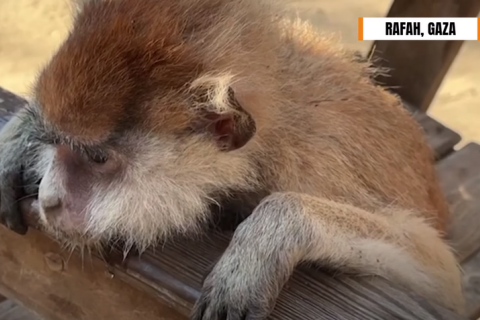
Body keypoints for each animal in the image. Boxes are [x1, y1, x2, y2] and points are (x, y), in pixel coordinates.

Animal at [0, 0, 464, 318]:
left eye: (96, 158)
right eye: (57, 142)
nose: (51, 201)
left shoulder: (314, 166)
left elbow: (441, 276)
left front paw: (272, 236)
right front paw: (19, 138)